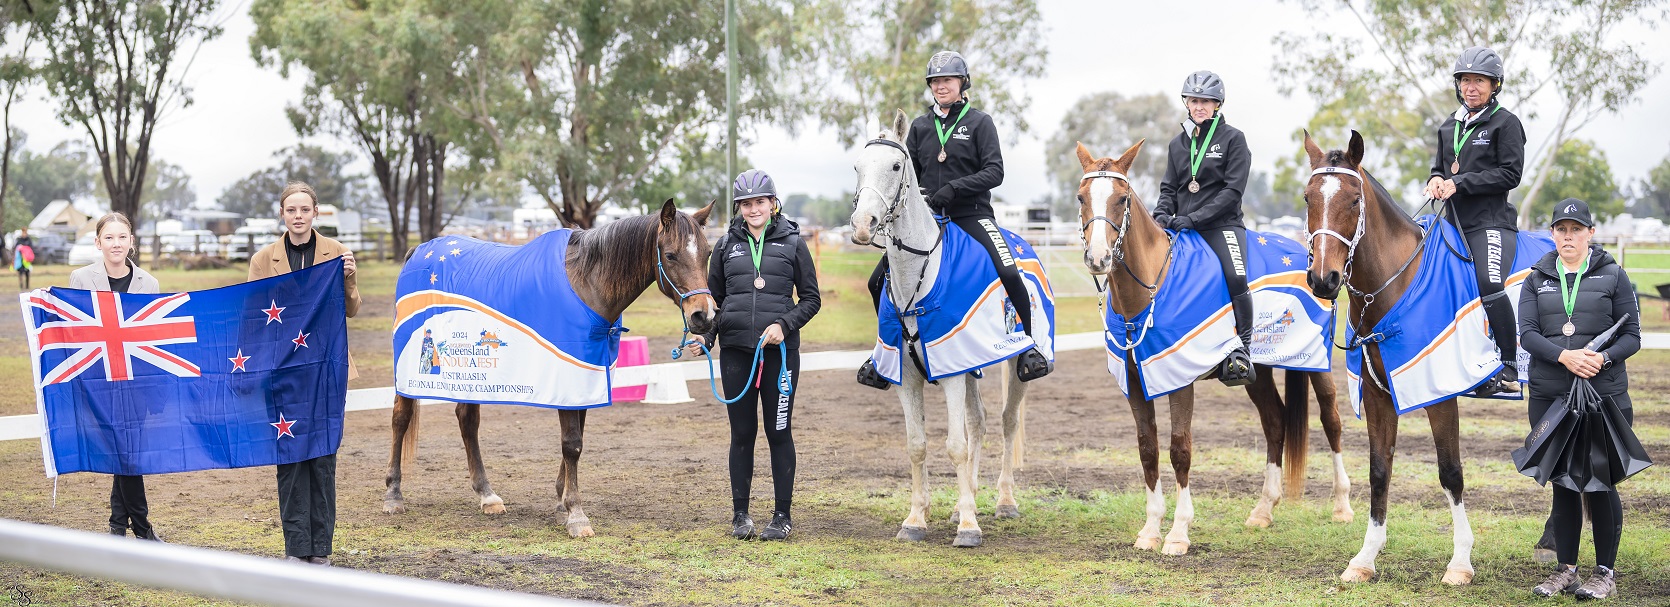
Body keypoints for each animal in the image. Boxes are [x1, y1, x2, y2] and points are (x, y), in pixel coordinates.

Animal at [382, 198, 714, 538]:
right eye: (671, 255)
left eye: (708, 252)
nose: (704, 316)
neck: (586, 285)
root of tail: (418, 252)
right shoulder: (567, 376)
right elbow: (572, 444)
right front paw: (576, 515)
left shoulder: (586, 377)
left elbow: (577, 439)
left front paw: (561, 502)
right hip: (411, 374)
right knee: (400, 419)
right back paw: (394, 495)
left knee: (467, 421)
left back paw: (487, 495)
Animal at [848, 110, 1028, 551]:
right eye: (858, 167)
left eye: (896, 167)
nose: (862, 225)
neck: (921, 276)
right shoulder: (909, 375)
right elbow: (917, 446)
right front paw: (917, 519)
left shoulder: (950, 374)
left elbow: (955, 446)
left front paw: (968, 528)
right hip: (972, 366)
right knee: (980, 421)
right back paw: (969, 501)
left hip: (1013, 363)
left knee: (1006, 421)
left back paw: (1003, 502)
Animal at [1075, 141, 1349, 555]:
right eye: (1081, 197)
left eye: (1122, 199)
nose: (1098, 258)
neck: (1152, 287)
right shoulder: (1136, 382)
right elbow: (1148, 449)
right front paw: (1150, 530)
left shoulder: (1178, 379)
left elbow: (1180, 449)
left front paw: (1178, 533)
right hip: (1258, 372)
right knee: (1275, 422)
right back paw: (1263, 510)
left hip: (1314, 363)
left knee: (1331, 420)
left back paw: (1342, 506)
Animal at [1302, 132, 1476, 585]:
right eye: (1308, 197)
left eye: (1353, 201)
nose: (1323, 279)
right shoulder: (1379, 396)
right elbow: (1379, 471)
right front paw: (1365, 558)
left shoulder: (1439, 396)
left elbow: (1450, 471)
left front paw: (1460, 562)